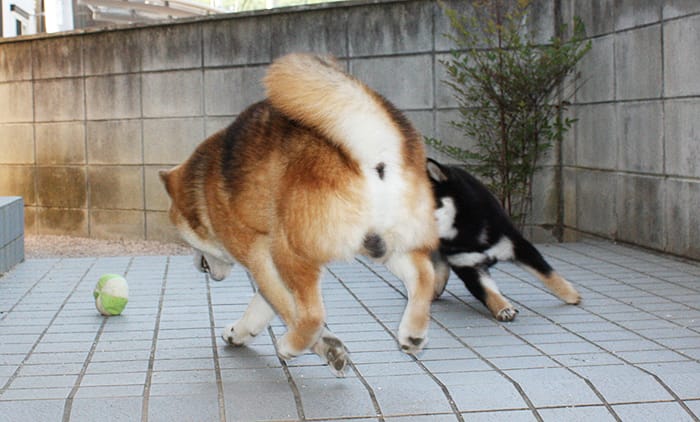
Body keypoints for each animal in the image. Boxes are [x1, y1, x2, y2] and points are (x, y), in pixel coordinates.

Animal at [161, 53, 440, 376]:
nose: (198, 266)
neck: (203, 187)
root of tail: (372, 154)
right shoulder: (265, 264)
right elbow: (263, 307)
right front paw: (239, 332)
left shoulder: (258, 254)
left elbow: (287, 309)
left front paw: (325, 347)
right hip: (384, 246)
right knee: (424, 275)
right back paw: (413, 332)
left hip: (289, 250)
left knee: (313, 316)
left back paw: (291, 344)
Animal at [426, 160, 580, 322]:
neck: (465, 231)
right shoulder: (468, 265)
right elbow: (488, 292)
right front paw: (503, 308)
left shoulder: (516, 245)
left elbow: (547, 273)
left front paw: (570, 294)